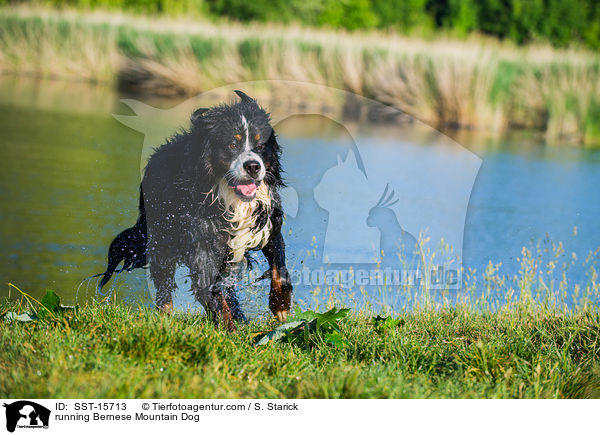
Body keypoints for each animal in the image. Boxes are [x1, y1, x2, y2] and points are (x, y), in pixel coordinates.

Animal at [96, 92, 292, 330]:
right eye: (232, 144)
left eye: (261, 144)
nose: (253, 166)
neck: (231, 200)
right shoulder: (203, 246)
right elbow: (211, 291)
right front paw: (229, 329)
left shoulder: (269, 228)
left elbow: (280, 271)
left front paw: (281, 306)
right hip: (162, 239)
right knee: (164, 286)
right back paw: (164, 318)